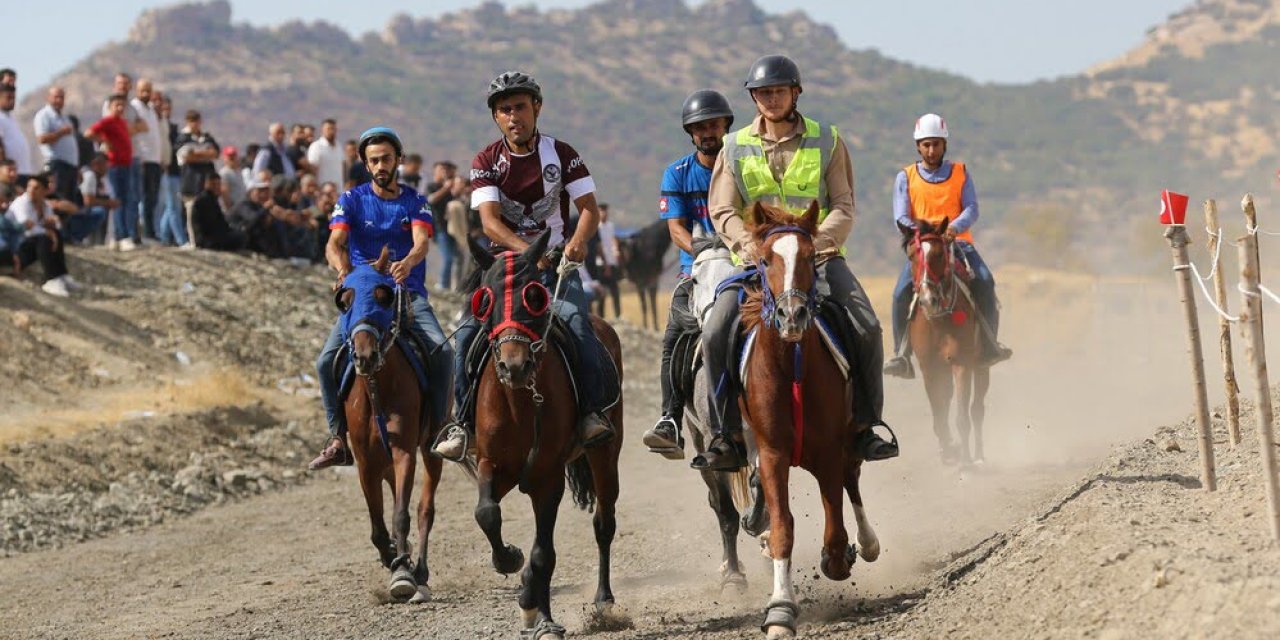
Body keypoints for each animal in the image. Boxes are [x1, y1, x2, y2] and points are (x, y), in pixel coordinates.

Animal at [337, 247, 448, 601]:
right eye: (345, 300)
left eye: (382, 296)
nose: (365, 356)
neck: (378, 388)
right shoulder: (365, 462)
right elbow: (376, 523)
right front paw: (392, 557)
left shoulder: (404, 452)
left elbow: (401, 514)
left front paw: (403, 573)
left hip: (430, 449)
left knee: (426, 508)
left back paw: (420, 570)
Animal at [465, 234, 624, 640]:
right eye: (485, 300)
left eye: (534, 298)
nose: (514, 365)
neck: (520, 401)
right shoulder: (492, 464)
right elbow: (486, 513)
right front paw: (509, 560)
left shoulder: (547, 478)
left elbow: (543, 554)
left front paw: (538, 611)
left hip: (605, 455)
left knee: (604, 523)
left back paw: (603, 600)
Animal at [742, 202, 880, 637]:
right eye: (765, 259)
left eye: (809, 257)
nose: (792, 315)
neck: (792, 366)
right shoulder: (772, 454)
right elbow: (783, 528)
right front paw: (780, 611)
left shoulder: (829, 451)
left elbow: (835, 527)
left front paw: (839, 557)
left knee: (853, 478)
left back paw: (867, 543)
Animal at [901, 217, 988, 463]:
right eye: (911, 256)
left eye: (939, 254)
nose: (928, 299)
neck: (939, 320)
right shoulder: (929, 367)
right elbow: (939, 412)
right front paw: (948, 451)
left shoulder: (962, 363)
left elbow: (962, 416)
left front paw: (966, 463)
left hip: (981, 366)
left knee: (977, 409)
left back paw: (979, 456)